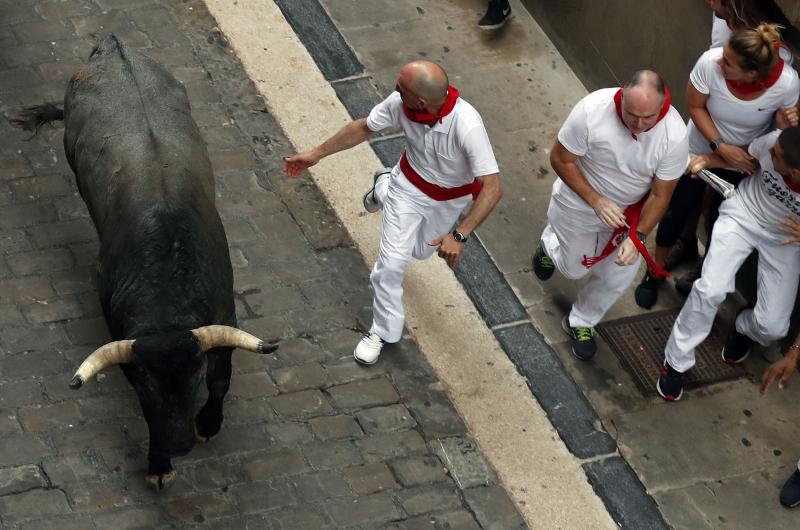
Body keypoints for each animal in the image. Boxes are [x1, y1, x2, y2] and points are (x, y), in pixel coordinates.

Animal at [14, 34, 280, 486]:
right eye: (145, 386)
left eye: (194, 376)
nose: (180, 445)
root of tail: (112, 46)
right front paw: (159, 464)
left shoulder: (223, 314)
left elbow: (221, 379)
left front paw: (209, 423)